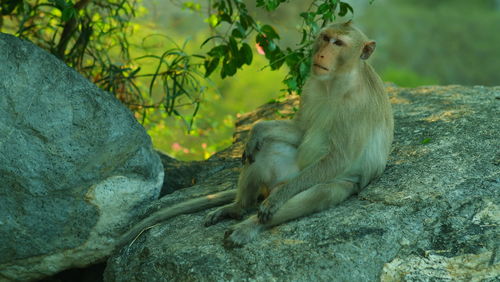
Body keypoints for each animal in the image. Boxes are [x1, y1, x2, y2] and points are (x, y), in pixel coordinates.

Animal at [115, 22, 392, 250]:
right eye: (325, 38)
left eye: (339, 44)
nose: (321, 54)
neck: (336, 82)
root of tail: (272, 187)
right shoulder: (311, 84)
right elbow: (301, 129)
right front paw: (256, 131)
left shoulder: (358, 107)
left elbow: (339, 157)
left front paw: (275, 202)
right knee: (263, 152)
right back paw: (237, 207)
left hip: (336, 183)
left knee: (316, 193)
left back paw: (251, 223)